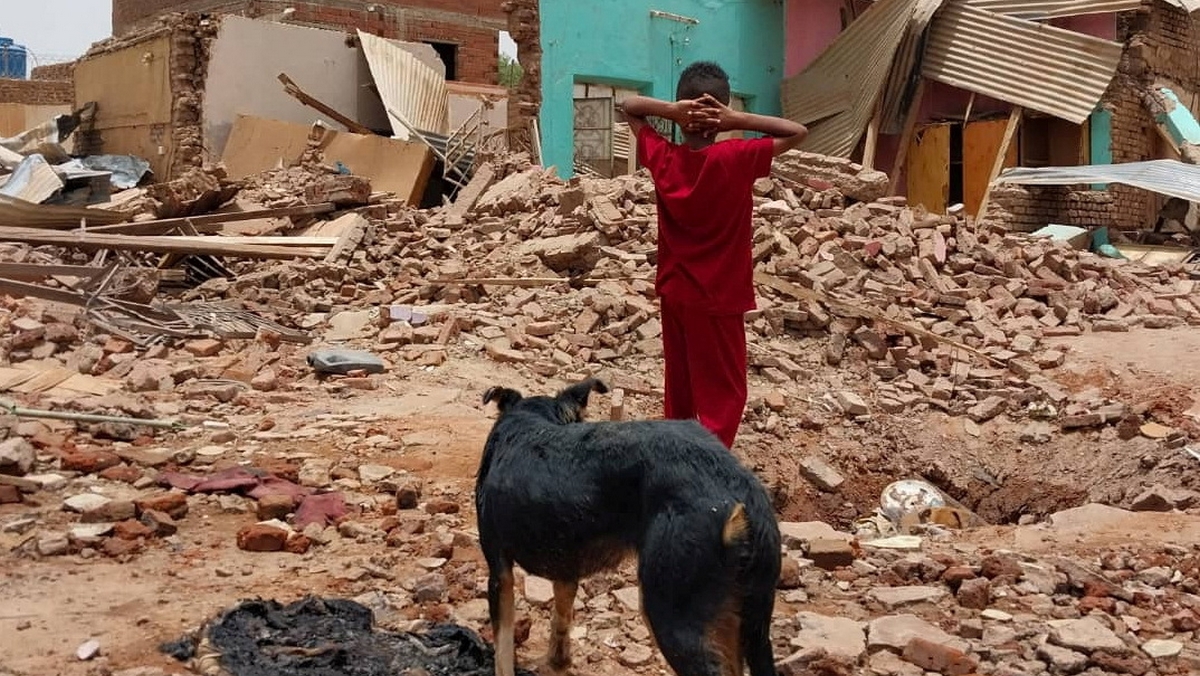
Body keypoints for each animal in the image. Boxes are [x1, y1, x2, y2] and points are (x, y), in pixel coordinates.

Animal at [472, 379, 782, 672]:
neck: (532, 419)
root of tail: (744, 492)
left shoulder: (499, 571)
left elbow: (502, 651)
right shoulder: (566, 567)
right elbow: (561, 617)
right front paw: (558, 662)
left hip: (671, 612)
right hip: (743, 617)